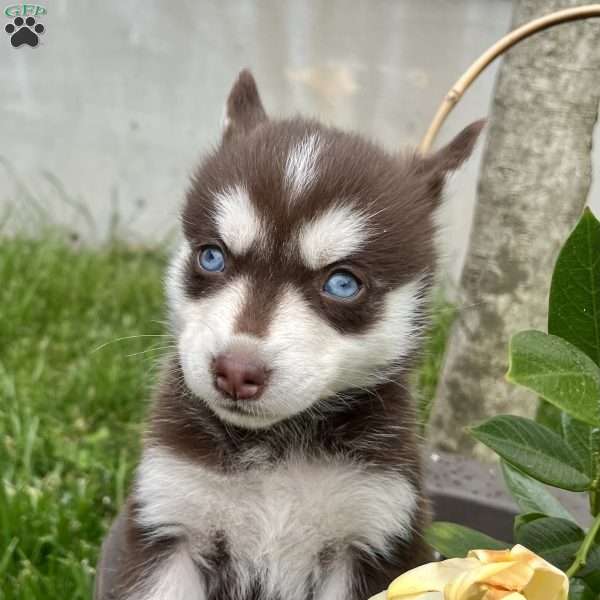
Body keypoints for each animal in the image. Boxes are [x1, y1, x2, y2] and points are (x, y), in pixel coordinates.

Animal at [99, 71, 482, 600]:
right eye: (211, 256)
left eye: (342, 283)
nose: (236, 372)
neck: (274, 450)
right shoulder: (170, 522)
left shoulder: (372, 535)